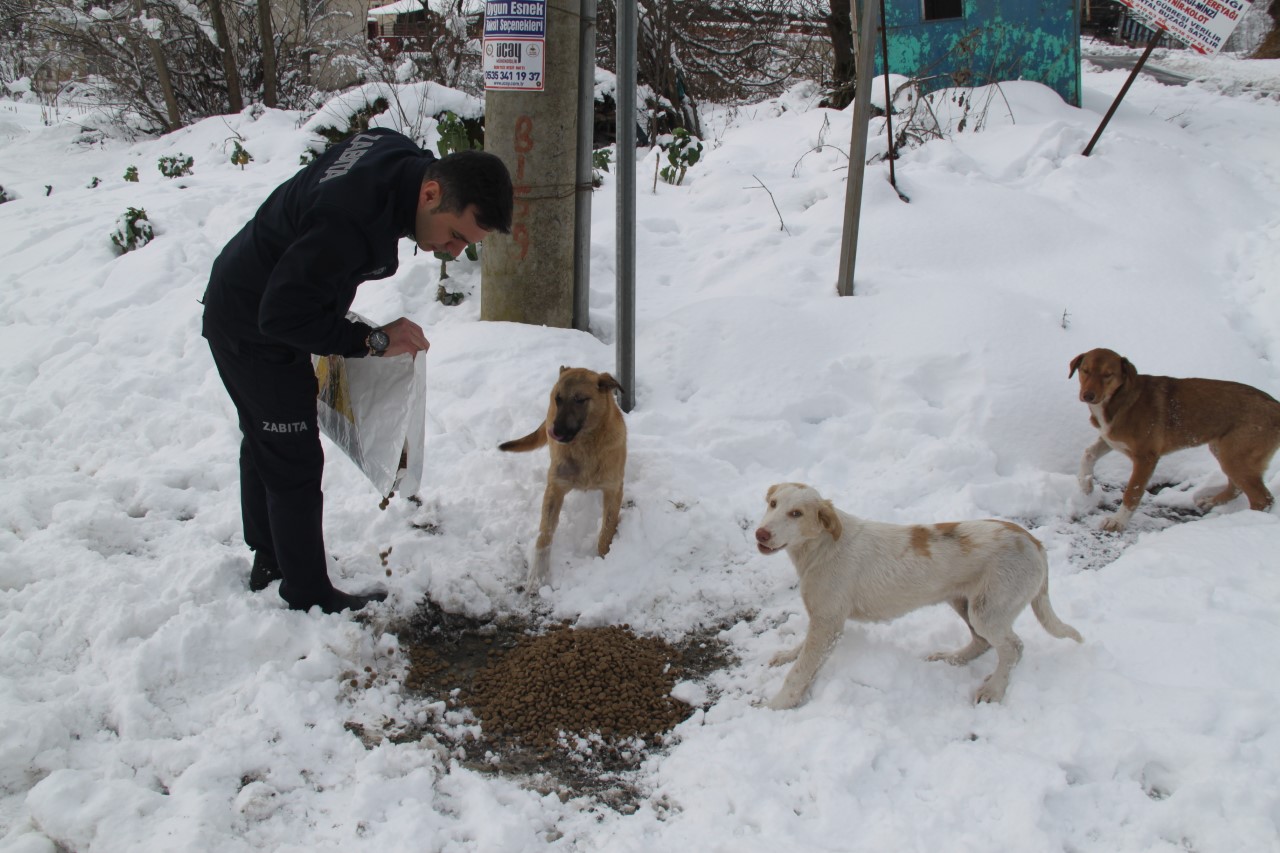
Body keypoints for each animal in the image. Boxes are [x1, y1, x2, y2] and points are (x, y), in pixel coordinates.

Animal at [496, 361, 627, 589]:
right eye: (558, 399)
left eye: (580, 399)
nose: (553, 431)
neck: (586, 445)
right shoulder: (555, 487)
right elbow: (544, 535)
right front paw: (538, 576)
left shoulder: (613, 489)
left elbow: (606, 530)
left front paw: (603, 559)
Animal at [752, 481, 1085, 706]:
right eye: (773, 503)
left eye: (796, 513)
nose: (761, 533)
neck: (821, 547)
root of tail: (1034, 543)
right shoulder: (822, 620)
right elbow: (803, 652)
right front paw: (787, 654)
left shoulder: (829, 624)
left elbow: (800, 670)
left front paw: (777, 705)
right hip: (964, 602)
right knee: (983, 642)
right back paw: (950, 659)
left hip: (988, 610)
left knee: (1013, 647)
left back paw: (994, 690)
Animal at [1070, 345, 1280, 525]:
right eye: (1085, 370)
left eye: (1108, 375)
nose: (1087, 395)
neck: (1118, 400)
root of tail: (1274, 405)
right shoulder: (1110, 440)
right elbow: (1088, 454)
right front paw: (1086, 486)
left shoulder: (1146, 458)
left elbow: (1132, 493)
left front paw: (1117, 522)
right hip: (1224, 450)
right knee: (1236, 486)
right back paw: (1211, 502)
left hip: (1236, 456)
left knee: (1263, 499)